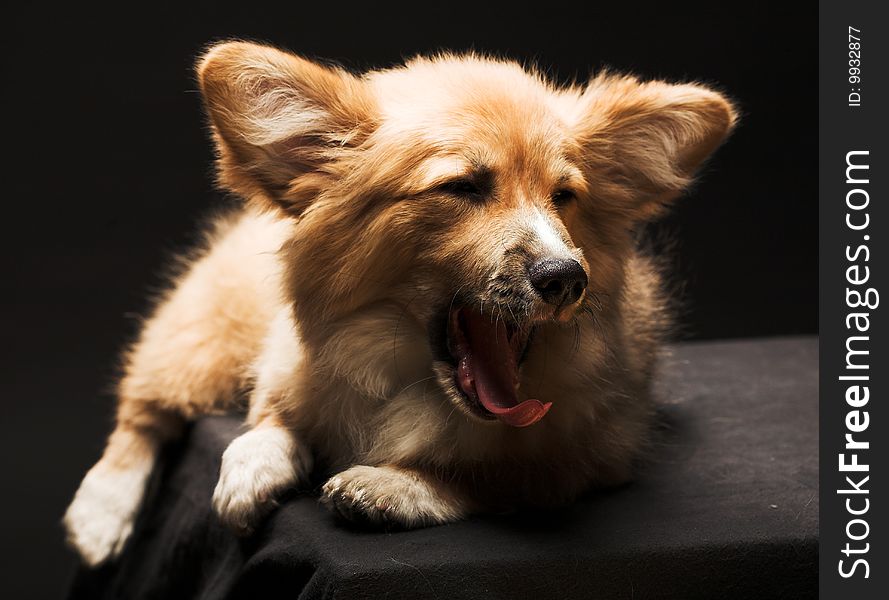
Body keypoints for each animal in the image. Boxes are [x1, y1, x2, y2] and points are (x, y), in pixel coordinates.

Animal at [60, 41, 728, 568]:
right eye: (462, 187)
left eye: (565, 196)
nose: (566, 277)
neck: (403, 373)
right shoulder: (281, 366)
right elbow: (269, 418)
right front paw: (250, 465)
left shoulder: (595, 454)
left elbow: (499, 474)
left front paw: (395, 487)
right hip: (199, 343)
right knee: (144, 412)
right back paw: (102, 508)